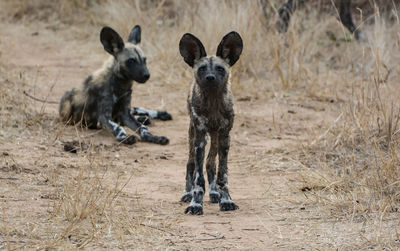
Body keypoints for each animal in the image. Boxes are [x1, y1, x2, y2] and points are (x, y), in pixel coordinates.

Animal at [179, 31, 242, 215]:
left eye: (220, 68)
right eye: (202, 68)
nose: (210, 77)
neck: (214, 103)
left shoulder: (225, 137)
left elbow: (222, 174)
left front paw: (226, 200)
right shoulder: (200, 137)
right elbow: (198, 178)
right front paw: (195, 203)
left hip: (215, 137)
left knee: (210, 163)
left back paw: (214, 193)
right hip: (194, 136)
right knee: (191, 164)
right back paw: (187, 193)